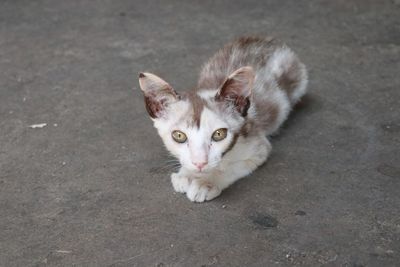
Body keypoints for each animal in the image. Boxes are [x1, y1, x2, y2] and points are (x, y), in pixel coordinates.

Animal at [139, 36, 308, 203]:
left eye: (219, 134)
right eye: (179, 136)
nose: (200, 163)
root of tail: (268, 39)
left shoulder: (258, 146)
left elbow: (232, 166)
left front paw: (206, 183)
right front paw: (186, 174)